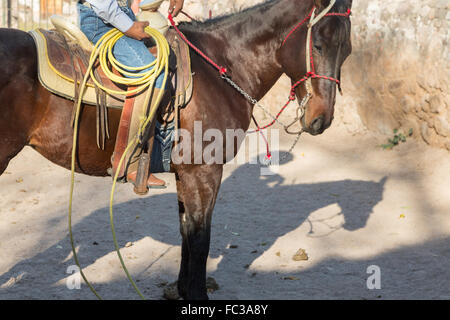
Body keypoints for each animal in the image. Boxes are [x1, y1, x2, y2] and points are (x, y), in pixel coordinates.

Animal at [0, 0, 352, 300]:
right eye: (318, 45)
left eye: (347, 50)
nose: (320, 119)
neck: (221, 67)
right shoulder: (204, 172)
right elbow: (200, 237)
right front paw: (196, 294)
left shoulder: (186, 174)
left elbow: (186, 230)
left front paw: (181, 289)